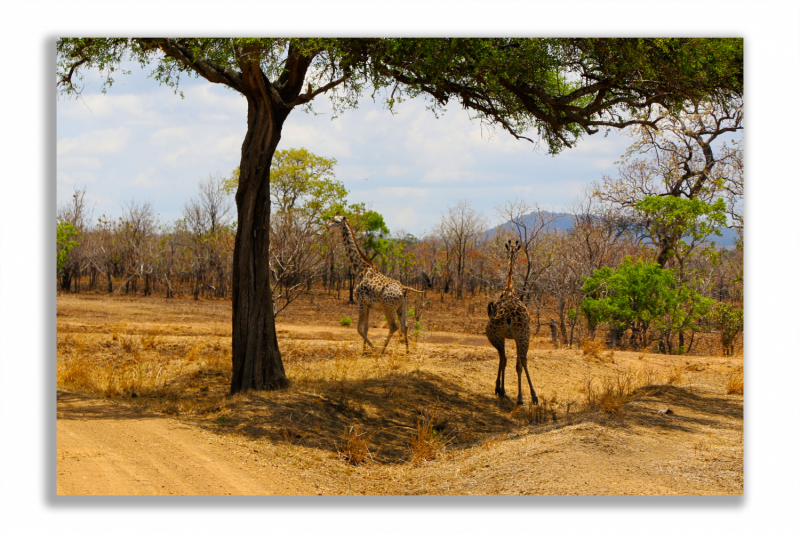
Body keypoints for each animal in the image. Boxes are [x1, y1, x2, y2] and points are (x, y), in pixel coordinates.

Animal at [324, 212, 428, 354]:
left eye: (337, 221)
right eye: (332, 219)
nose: (328, 226)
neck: (359, 269)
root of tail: (403, 288)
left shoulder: (361, 301)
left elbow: (359, 328)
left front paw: (371, 347)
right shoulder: (368, 304)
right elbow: (366, 328)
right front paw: (363, 350)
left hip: (388, 308)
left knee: (394, 327)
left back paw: (382, 350)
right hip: (402, 307)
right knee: (405, 326)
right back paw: (407, 350)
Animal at [484, 240, 540, 404]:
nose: (511, 251)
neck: (509, 289)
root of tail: (509, 318)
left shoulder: (506, 336)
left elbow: (505, 361)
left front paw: (501, 388)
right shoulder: (514, 337)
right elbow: (516, 363)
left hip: (498, 336)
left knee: (505, 358)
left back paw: (502, 390)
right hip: (522, 336)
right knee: (520, 360)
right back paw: (527, 396)